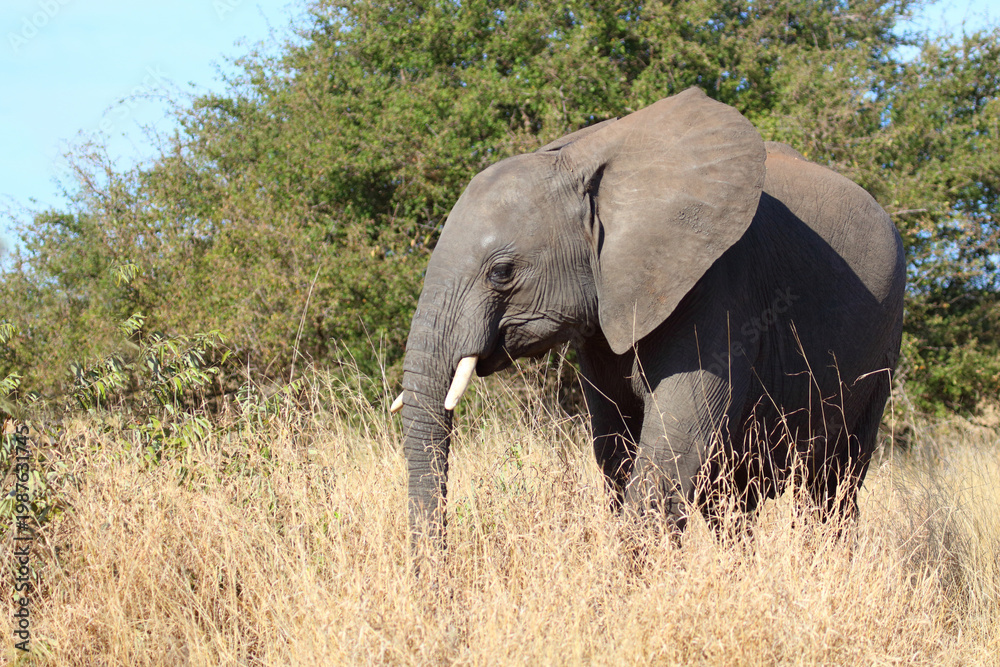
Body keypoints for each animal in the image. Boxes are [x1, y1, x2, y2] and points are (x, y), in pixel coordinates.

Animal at [391, 87, 905, 548]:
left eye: (501, 272)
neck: (585, 163)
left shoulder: (717, 287)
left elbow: (671, 454)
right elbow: (614, 449)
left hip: (882, 344)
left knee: (833, 486)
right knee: (733, 502)